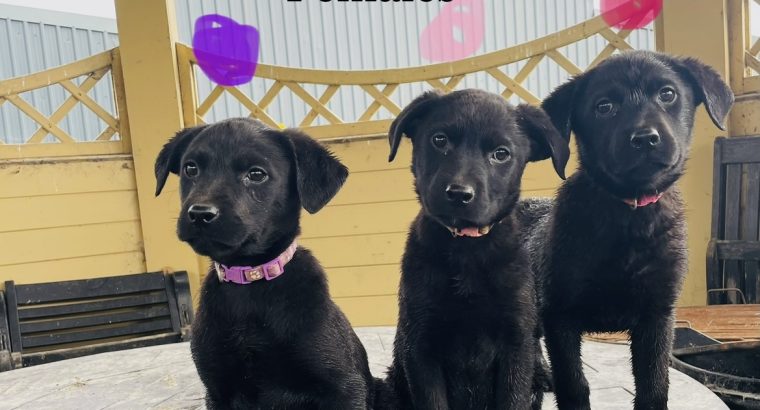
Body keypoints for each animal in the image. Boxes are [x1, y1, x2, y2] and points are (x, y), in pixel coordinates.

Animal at [154, 117, 380, 408]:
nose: (200, 214)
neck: (251, 278)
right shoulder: (217, 391)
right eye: (190, 168)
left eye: (256, 174)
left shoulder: (344, 387)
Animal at [386, 89, 568, 410]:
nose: (459, 194)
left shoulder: (516, 345)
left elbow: (512, 399)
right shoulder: (420, 347)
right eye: (439, 140)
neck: (466, 250)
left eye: (501, 153)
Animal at [524, 51, 732, 410]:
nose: (645, 138)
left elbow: (653, 386)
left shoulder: (657, 317)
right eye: (604, 107)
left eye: (667, 94)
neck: (630, 214)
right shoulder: (560, 317)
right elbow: (574, 384)